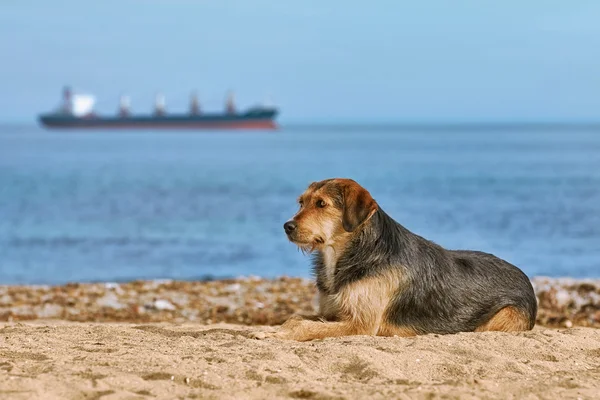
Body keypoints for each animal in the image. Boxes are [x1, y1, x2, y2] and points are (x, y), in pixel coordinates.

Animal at [260, 178, 536, 340]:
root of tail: (526, 280)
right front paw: (273, 329)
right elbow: (296, 318)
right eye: (301, 202)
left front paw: (276, 334)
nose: (287, 226)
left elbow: (306, 326)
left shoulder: (360, 325)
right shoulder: (331, 313)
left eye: (321, 204)